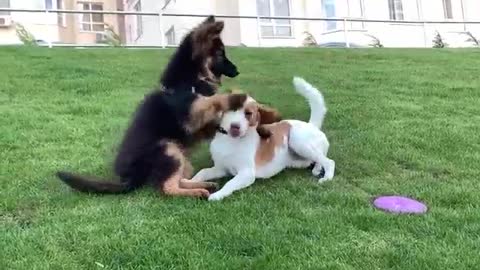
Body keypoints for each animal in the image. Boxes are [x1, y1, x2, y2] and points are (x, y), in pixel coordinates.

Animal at [189, 77, 336, 200]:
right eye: (232, 108)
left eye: (248, 114)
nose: (235, 126)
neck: (230, 141)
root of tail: (312, 124)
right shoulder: (221, 168)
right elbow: (202, 172)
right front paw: (190, 182)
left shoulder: (247, 173)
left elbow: (230, 183)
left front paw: (217, 195)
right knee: (319, 159)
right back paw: (316, 169)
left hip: (298, 141)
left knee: (329, 161)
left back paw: (326, 177)